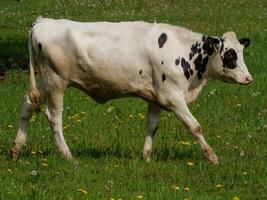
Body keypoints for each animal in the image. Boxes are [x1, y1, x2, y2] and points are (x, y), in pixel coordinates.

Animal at [11, 17, 253, 164]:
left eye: (241, 52)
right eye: (230, 55)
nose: (249, 78)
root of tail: (43, 22)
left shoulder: (156, 97)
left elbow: (152, 125)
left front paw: (146, 156)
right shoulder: (173, 97)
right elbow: (195, 126)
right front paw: (212, 157)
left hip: (43, 81)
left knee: (27, 104)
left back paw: (16, 148)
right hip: (55, 82)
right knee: (55, 118)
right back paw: (67, 154)